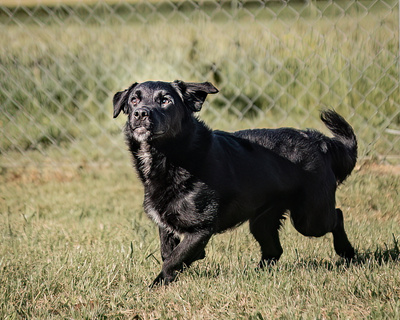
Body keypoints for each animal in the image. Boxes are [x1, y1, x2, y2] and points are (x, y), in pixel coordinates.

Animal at [112, 80, 356, 288]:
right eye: (134, 100)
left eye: (165, 100)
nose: (140, 113)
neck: (171, 157)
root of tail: (320, 141)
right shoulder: (166, 222)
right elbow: (166, 252)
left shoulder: (200, 228)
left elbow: (173, 259)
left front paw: (156, 286)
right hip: (262, 221)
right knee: (274, 250)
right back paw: (255, 274)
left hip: (310, 218)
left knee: (338, 216)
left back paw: (348, 254)